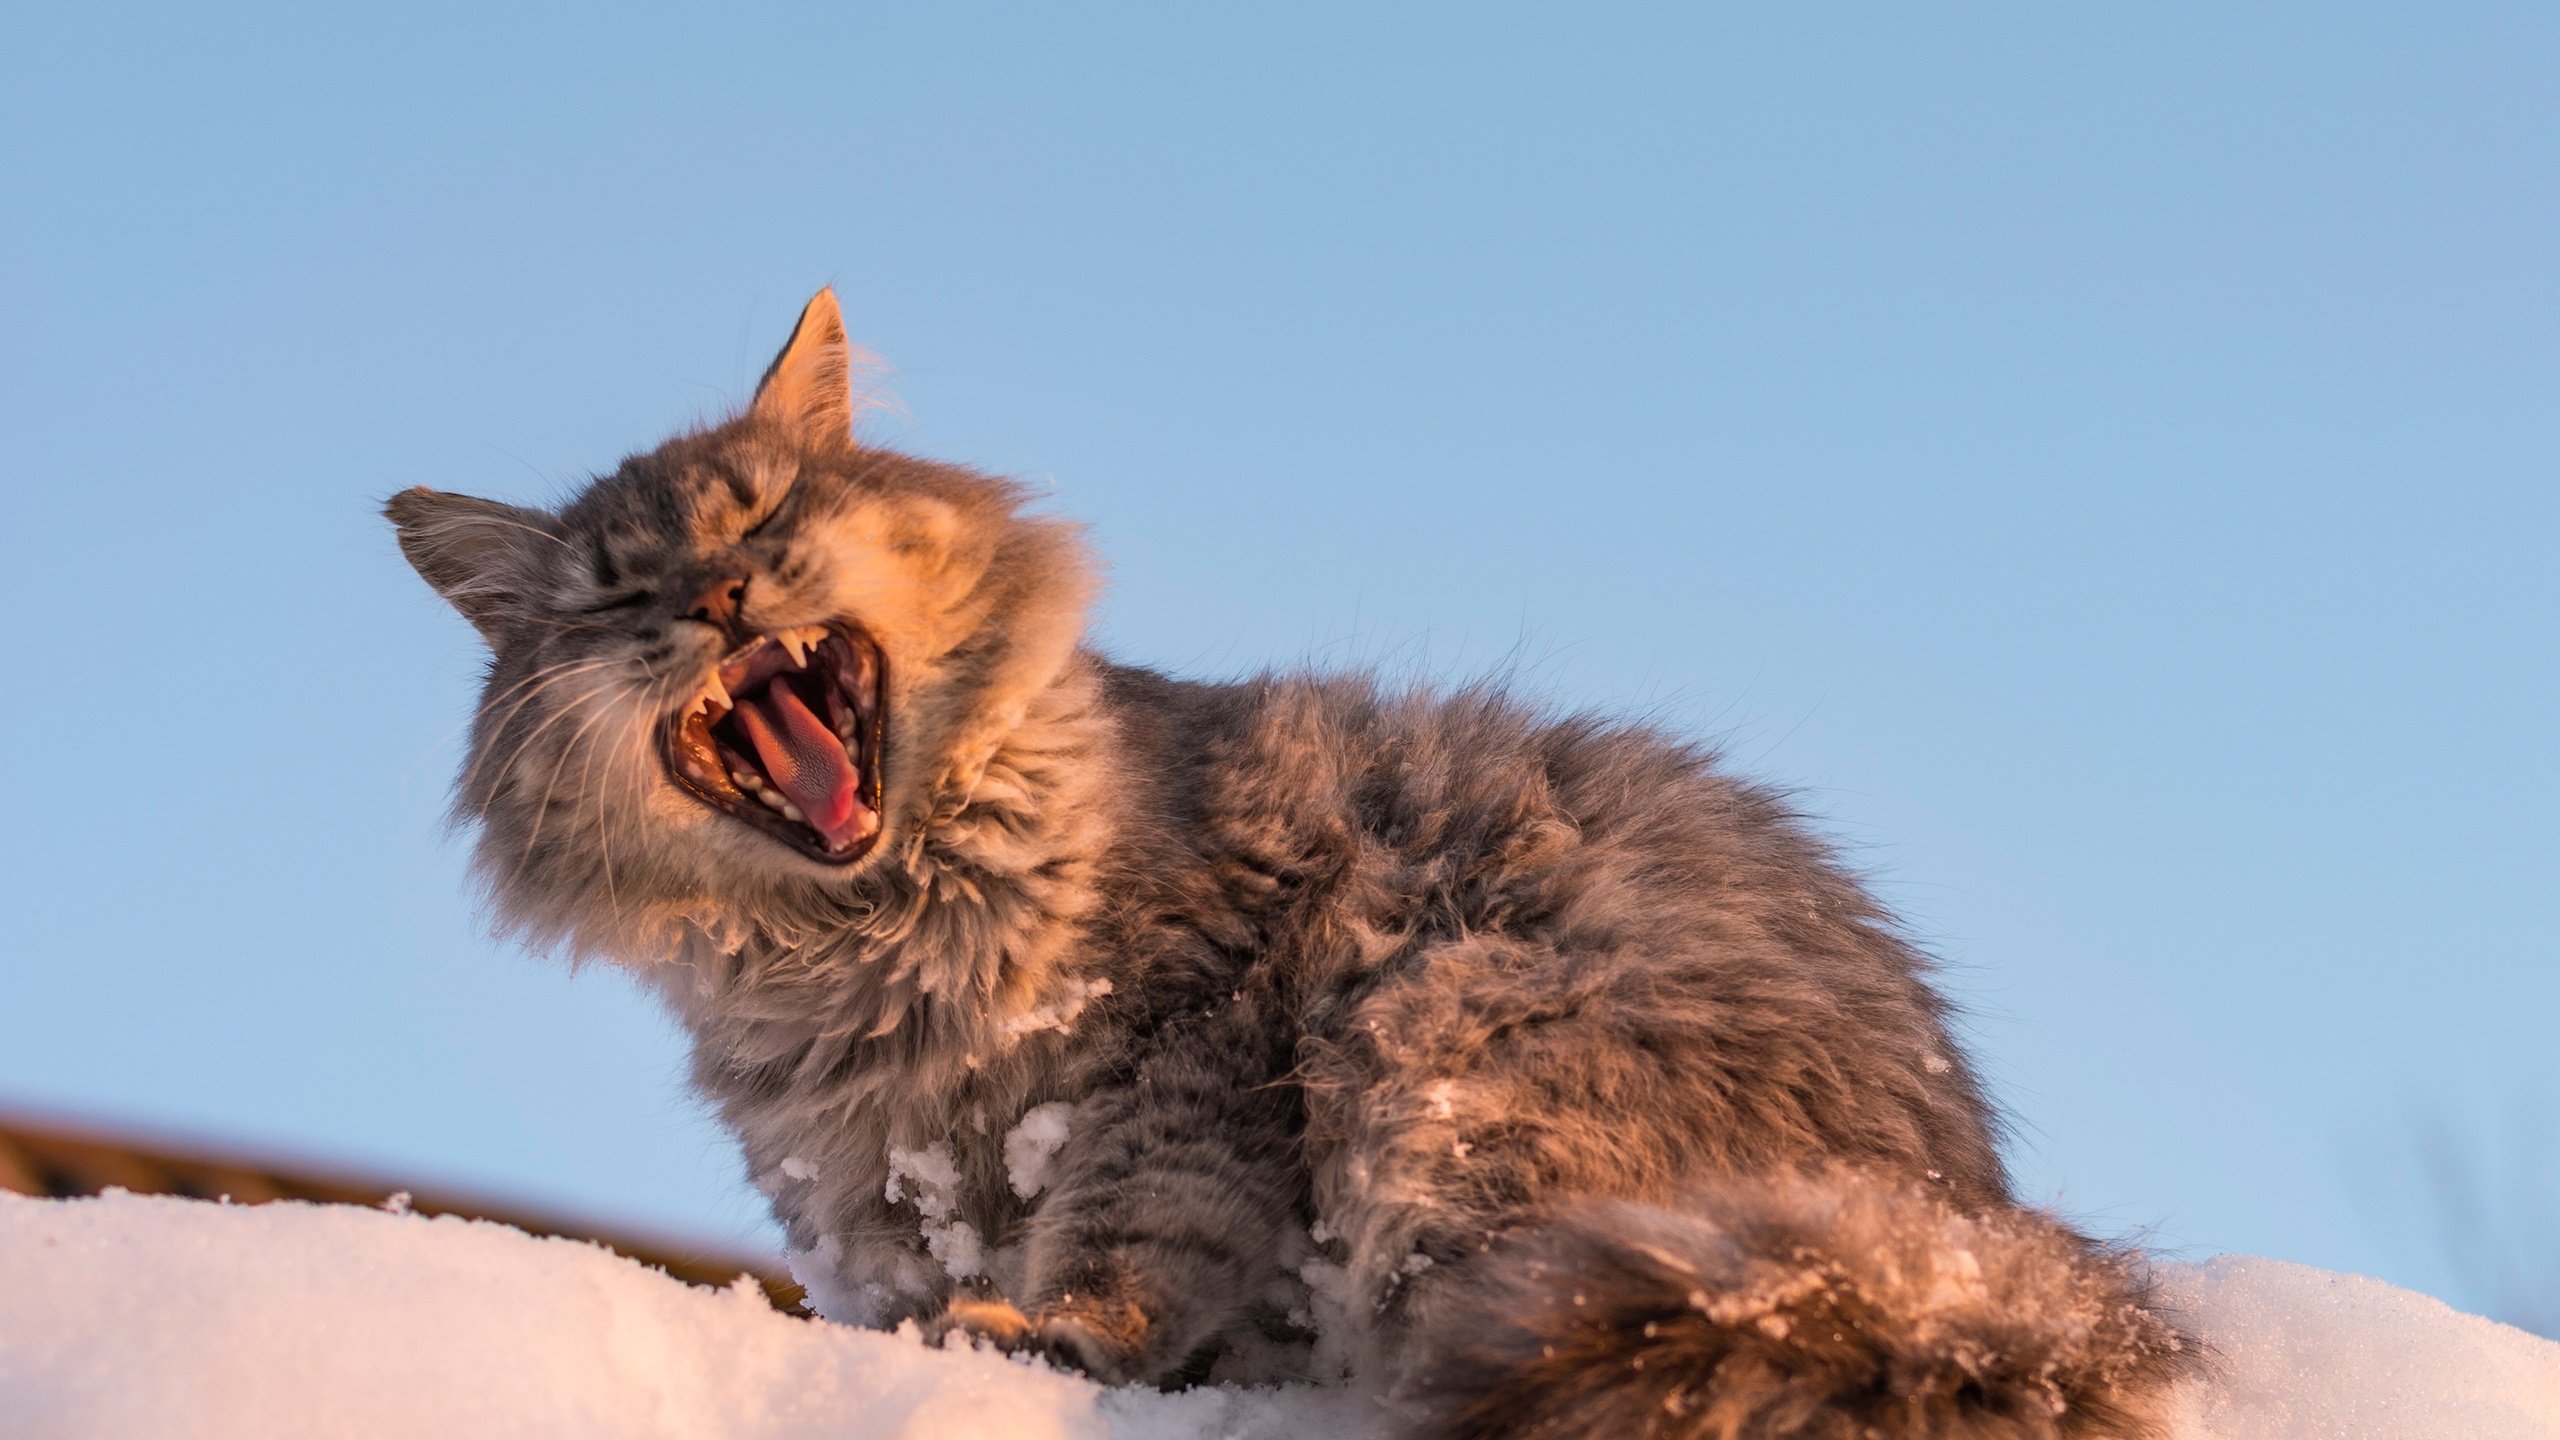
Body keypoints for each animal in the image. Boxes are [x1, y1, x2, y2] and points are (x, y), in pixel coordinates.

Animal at [389, 292, 2191, 1434]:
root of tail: (1971, 1240)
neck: (874, 937)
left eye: (761, 518)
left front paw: (1059, 1335)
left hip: (1450, 1036)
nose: (714, 602)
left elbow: (1131, 1249)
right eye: (615, 600)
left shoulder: (1190, 1041)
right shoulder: (860, 1203)